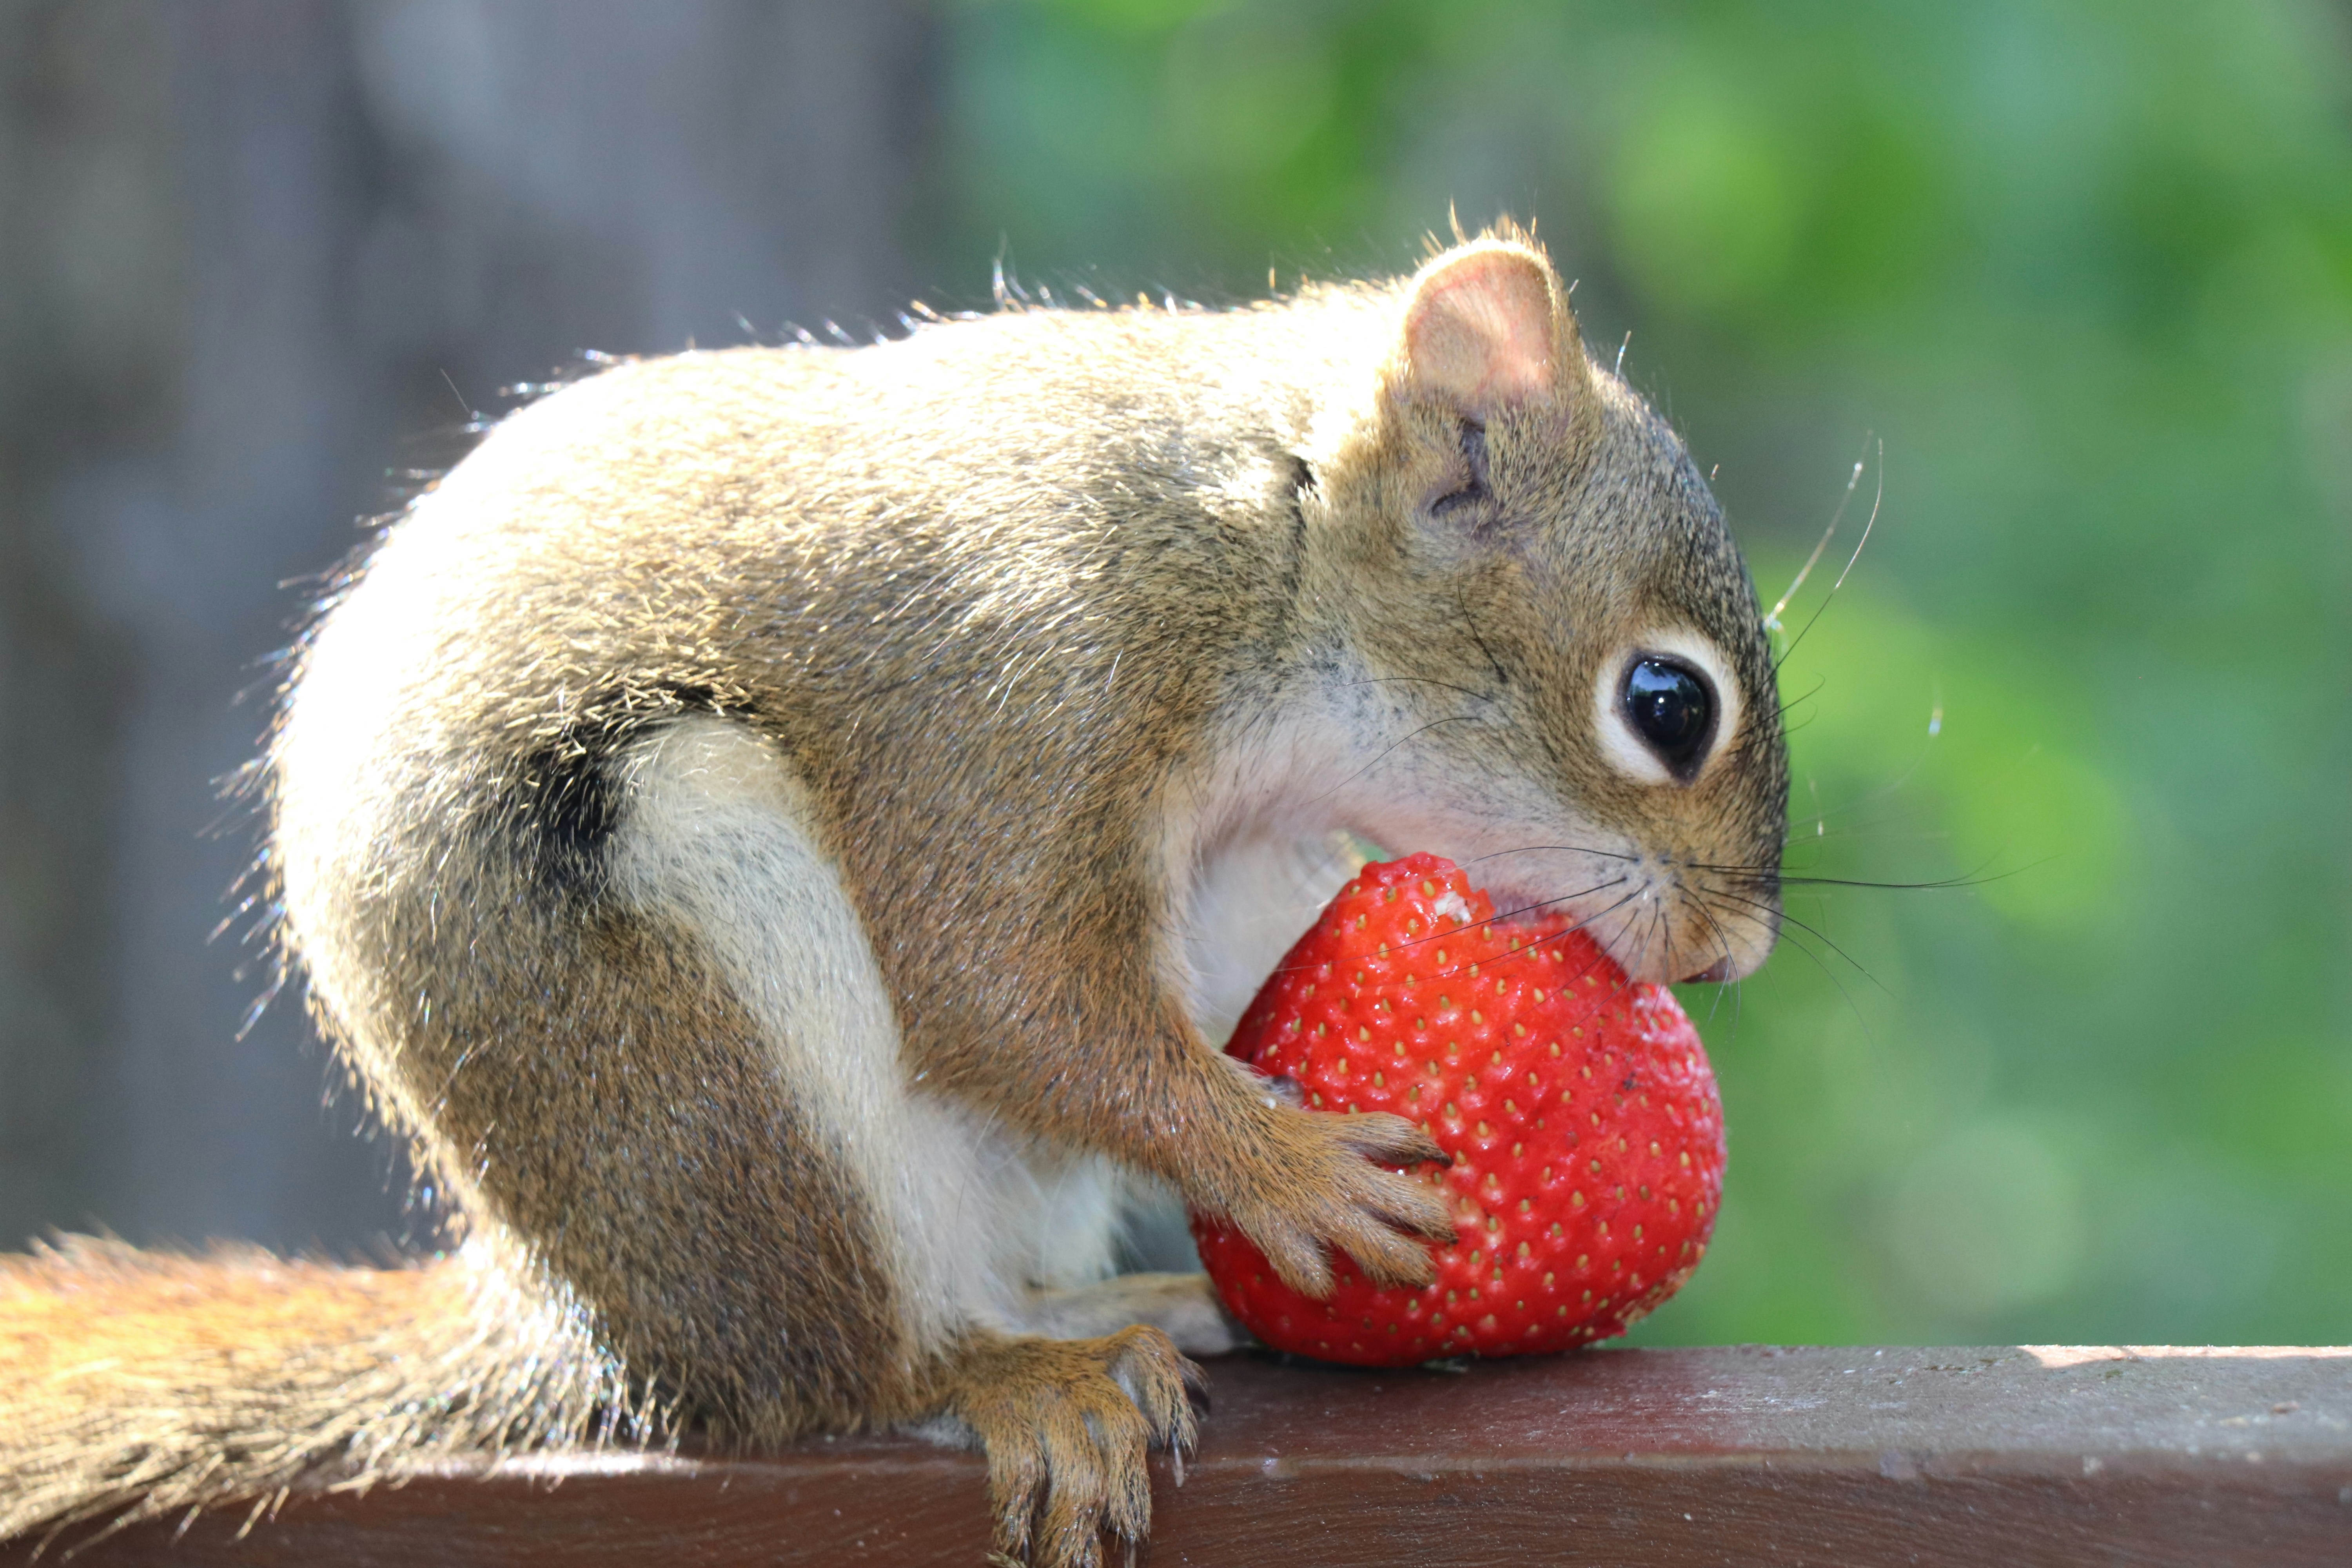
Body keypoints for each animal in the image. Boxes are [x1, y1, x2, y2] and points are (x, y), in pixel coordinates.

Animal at [0, 224, 1786, 1568]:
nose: (1735, 953)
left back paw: (1133, 1304)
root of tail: (589, 1320)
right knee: (846, 1367)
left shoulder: (1258, 859)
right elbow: (992, 979)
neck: (1252, 549)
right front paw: (1290, 1165)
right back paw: (1008, 1373)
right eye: (1669, 704)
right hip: (708, 1013)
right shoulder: (1016, 674)